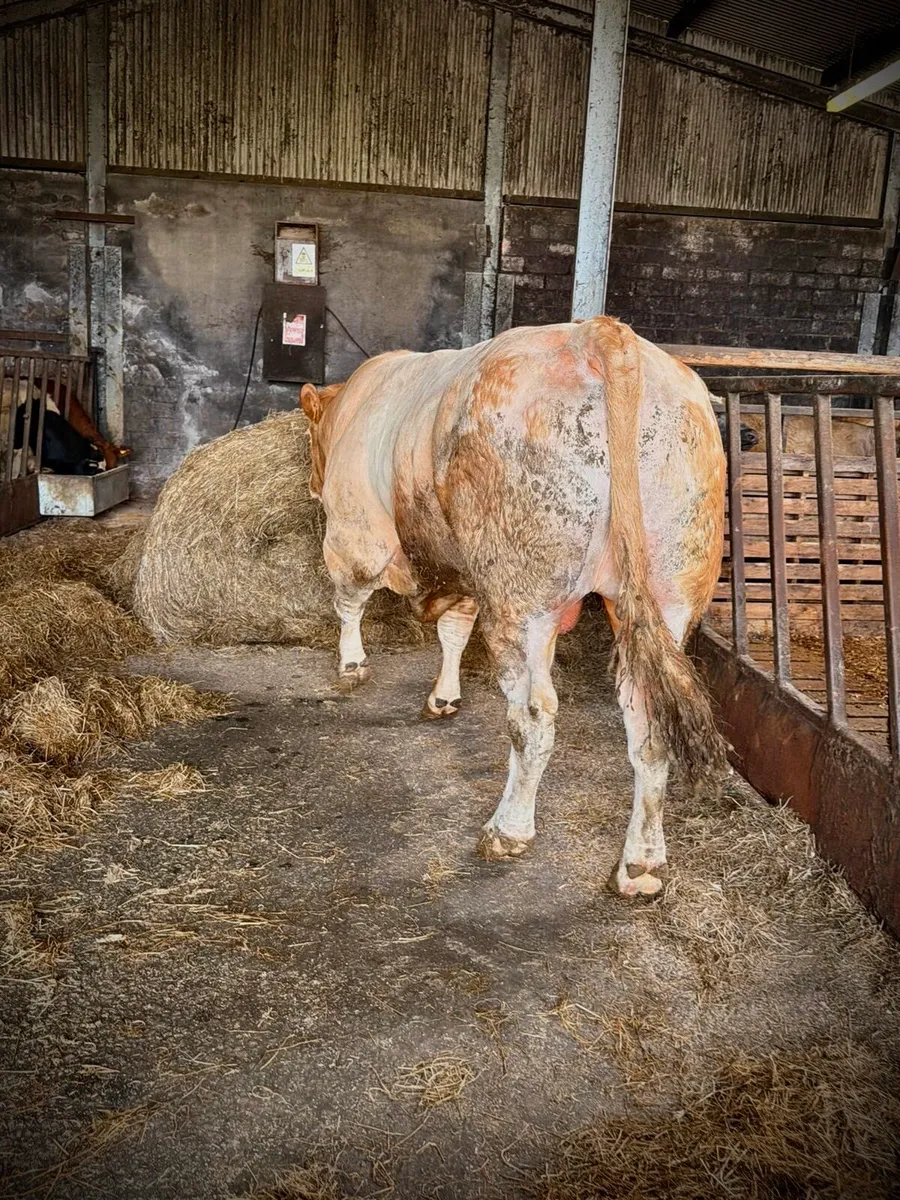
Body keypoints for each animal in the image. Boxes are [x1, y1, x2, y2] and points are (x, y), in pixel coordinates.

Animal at [300, 317, 727, 896]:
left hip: (521, 597)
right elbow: (454, 631)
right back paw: (640, 866)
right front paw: (443, 696)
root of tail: (601, 334)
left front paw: (351, 665)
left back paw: (508, 830)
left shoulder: (356, 537)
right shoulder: (463, 572)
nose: (311, 485)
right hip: (669, 589)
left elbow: (349, 601)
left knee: (532, 716)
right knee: (649, 726)